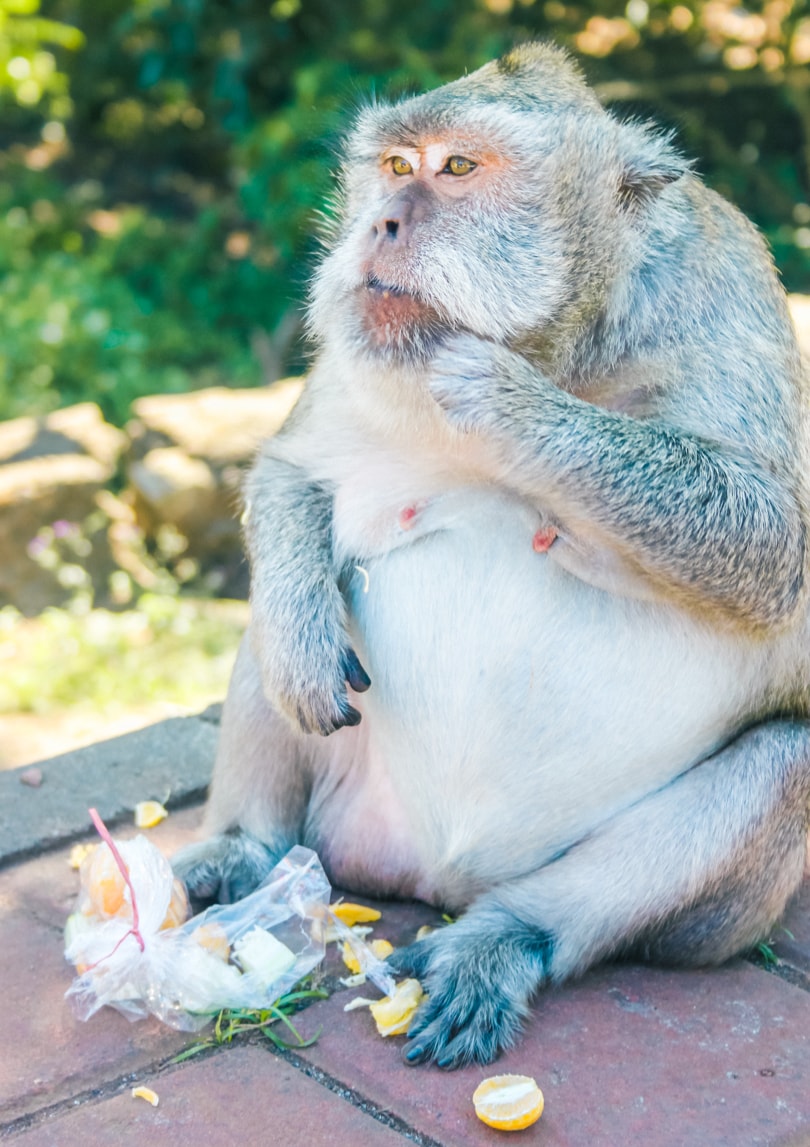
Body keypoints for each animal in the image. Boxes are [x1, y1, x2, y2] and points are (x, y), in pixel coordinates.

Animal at [173, 42, 807, 1064]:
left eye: (459, 168)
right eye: (397, 165)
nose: (381, 223)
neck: (568, 347)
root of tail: (440, 877)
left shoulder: (720, 288)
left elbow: (769, 543)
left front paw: (503, 398)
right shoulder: (359, 347)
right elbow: (292, 472)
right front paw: (301, 629)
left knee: (786, 757)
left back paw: (507, 937)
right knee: (271, 637)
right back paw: (247, 850)